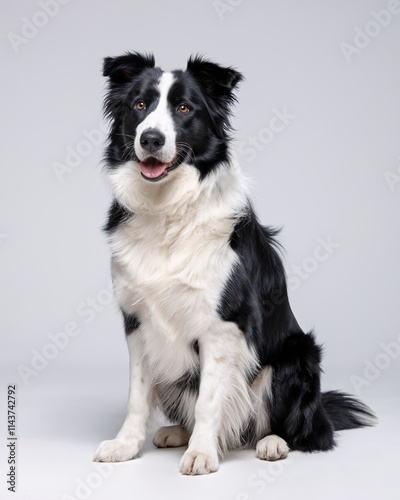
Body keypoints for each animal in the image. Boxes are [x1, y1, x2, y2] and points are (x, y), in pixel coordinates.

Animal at [93, 52, 376, 474]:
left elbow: (210, 399)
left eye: (184, 108)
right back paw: (177, 433)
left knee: (305, 432)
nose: (151, 139)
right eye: (140, 105)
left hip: (297, 357)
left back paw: (273, 442)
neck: (168, 211)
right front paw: (126, 445)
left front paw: (202, 453)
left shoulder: (224, 324)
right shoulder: (137, 320)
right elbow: (137, 394)